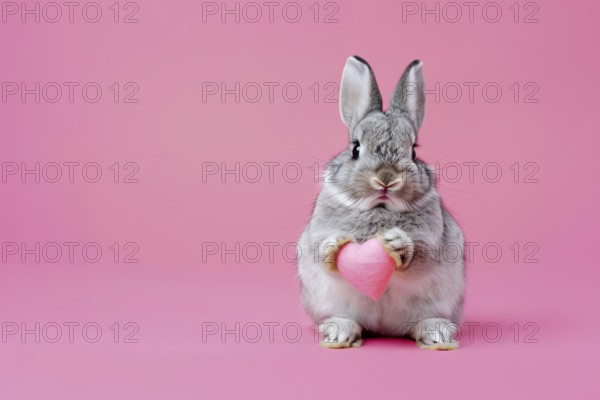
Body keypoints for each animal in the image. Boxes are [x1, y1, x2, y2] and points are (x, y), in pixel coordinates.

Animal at [298, 57, 466, 350]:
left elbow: (419, 256)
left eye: (413, 151)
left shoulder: (432, 242)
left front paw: (397, 243)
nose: (386, 178)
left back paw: (437, 335)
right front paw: (335, 244)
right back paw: (340, 334)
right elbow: (322, 252)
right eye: (355, 148)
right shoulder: (315, 237)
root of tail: (385, 328)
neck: (379, 209)